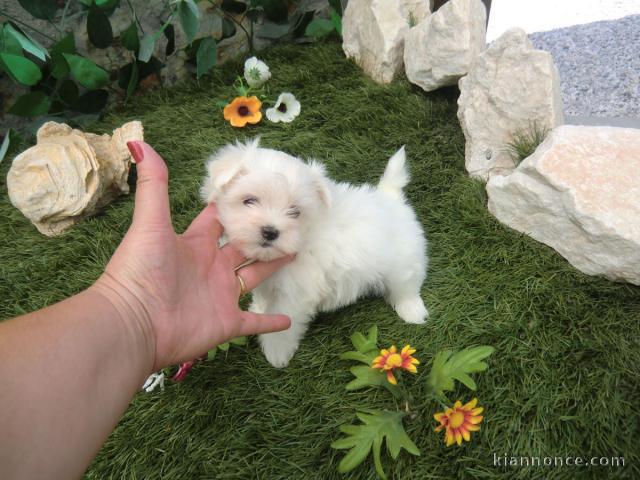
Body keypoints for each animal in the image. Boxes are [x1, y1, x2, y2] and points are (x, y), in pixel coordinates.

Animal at [202, 139, 428, 368]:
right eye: (249, 200)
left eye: (295, 212)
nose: (270, 231)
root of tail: (391, 197)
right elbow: (264, 297)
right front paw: (259, 308)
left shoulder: (293, 294)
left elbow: (282, 325)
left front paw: (276, 353)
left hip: (402, 260)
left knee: (406, 285)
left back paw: (413, 311)